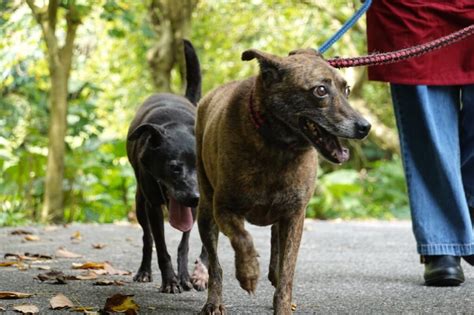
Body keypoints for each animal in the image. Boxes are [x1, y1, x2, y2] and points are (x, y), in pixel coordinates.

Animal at [126, 40, 207, 294]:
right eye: (174, 167)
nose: (195, 198)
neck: (177, 124)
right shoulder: (152, 205)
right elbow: (161, 247)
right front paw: (170, 280)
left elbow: (184, 244)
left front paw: (185, 277)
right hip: (140, 203)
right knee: (147, 238)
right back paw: (144, 271)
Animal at [195, 48, 370, 314]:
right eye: (320, 90)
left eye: (347, 89)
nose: (365, 127)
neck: (278, 146)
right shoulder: (224, 208)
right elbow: (243, 238)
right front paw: (248, 272)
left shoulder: (295, 216)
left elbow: (287, 271)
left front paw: (283, 303)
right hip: (206, 213)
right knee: (215, 265)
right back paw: (214, 301)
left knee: (276, 249)